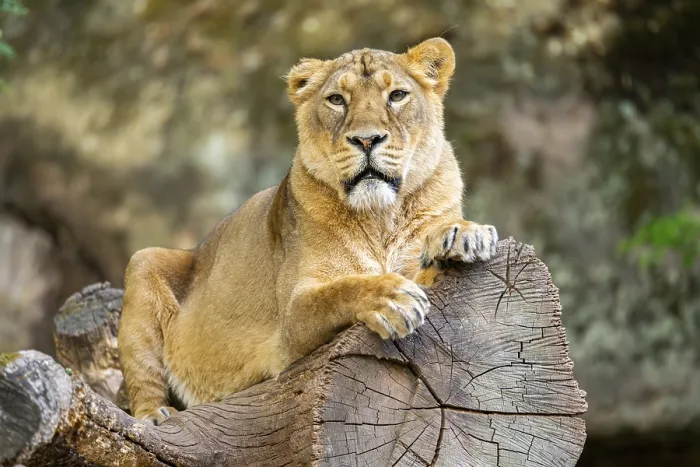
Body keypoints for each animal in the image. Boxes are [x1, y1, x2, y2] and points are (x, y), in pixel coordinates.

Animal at [118, 37, 498, 425]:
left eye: (397, 95)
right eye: (337, 100)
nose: (366, 140)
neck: (381, 215)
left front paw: (462, 235)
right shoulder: (293, 318)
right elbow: (340, 291)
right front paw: (392, 299)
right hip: (144, 262)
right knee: (142, 380)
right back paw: (154, 414)